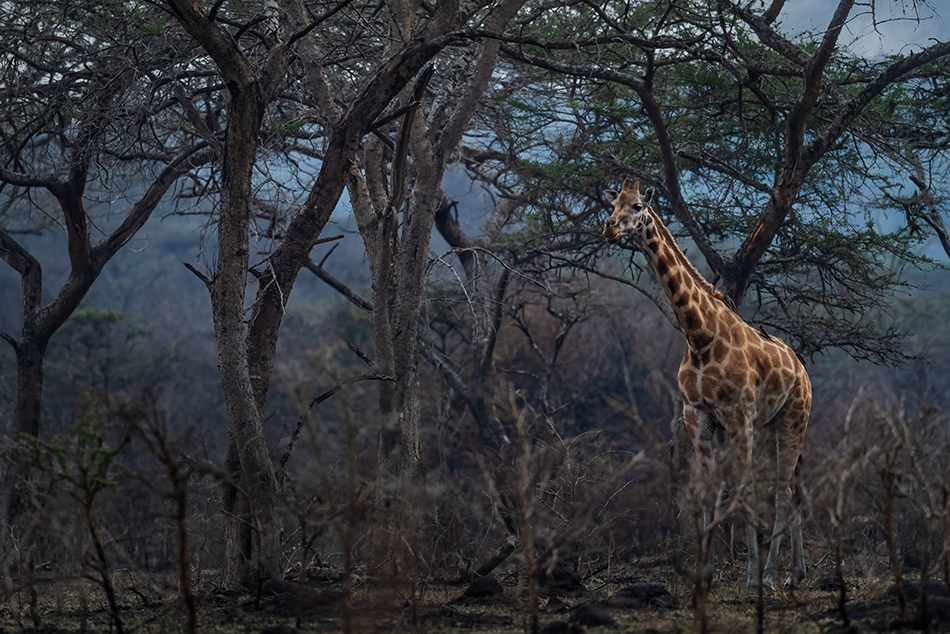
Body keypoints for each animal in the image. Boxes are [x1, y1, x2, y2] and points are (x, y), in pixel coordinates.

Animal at [602, 179, 811, 590]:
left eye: (637, 206)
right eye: (612, 204)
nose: (610, 229)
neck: (700, 338)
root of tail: (803, 369)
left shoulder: (738, 417)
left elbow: (743, 489)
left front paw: (752, 577)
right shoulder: (697, 416)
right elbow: (708, 490)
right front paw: (706, 572)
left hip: (793, 420)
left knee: (781, 491)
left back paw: (770, 576)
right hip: (770, 425)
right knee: (793, 490)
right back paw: (795, 575)